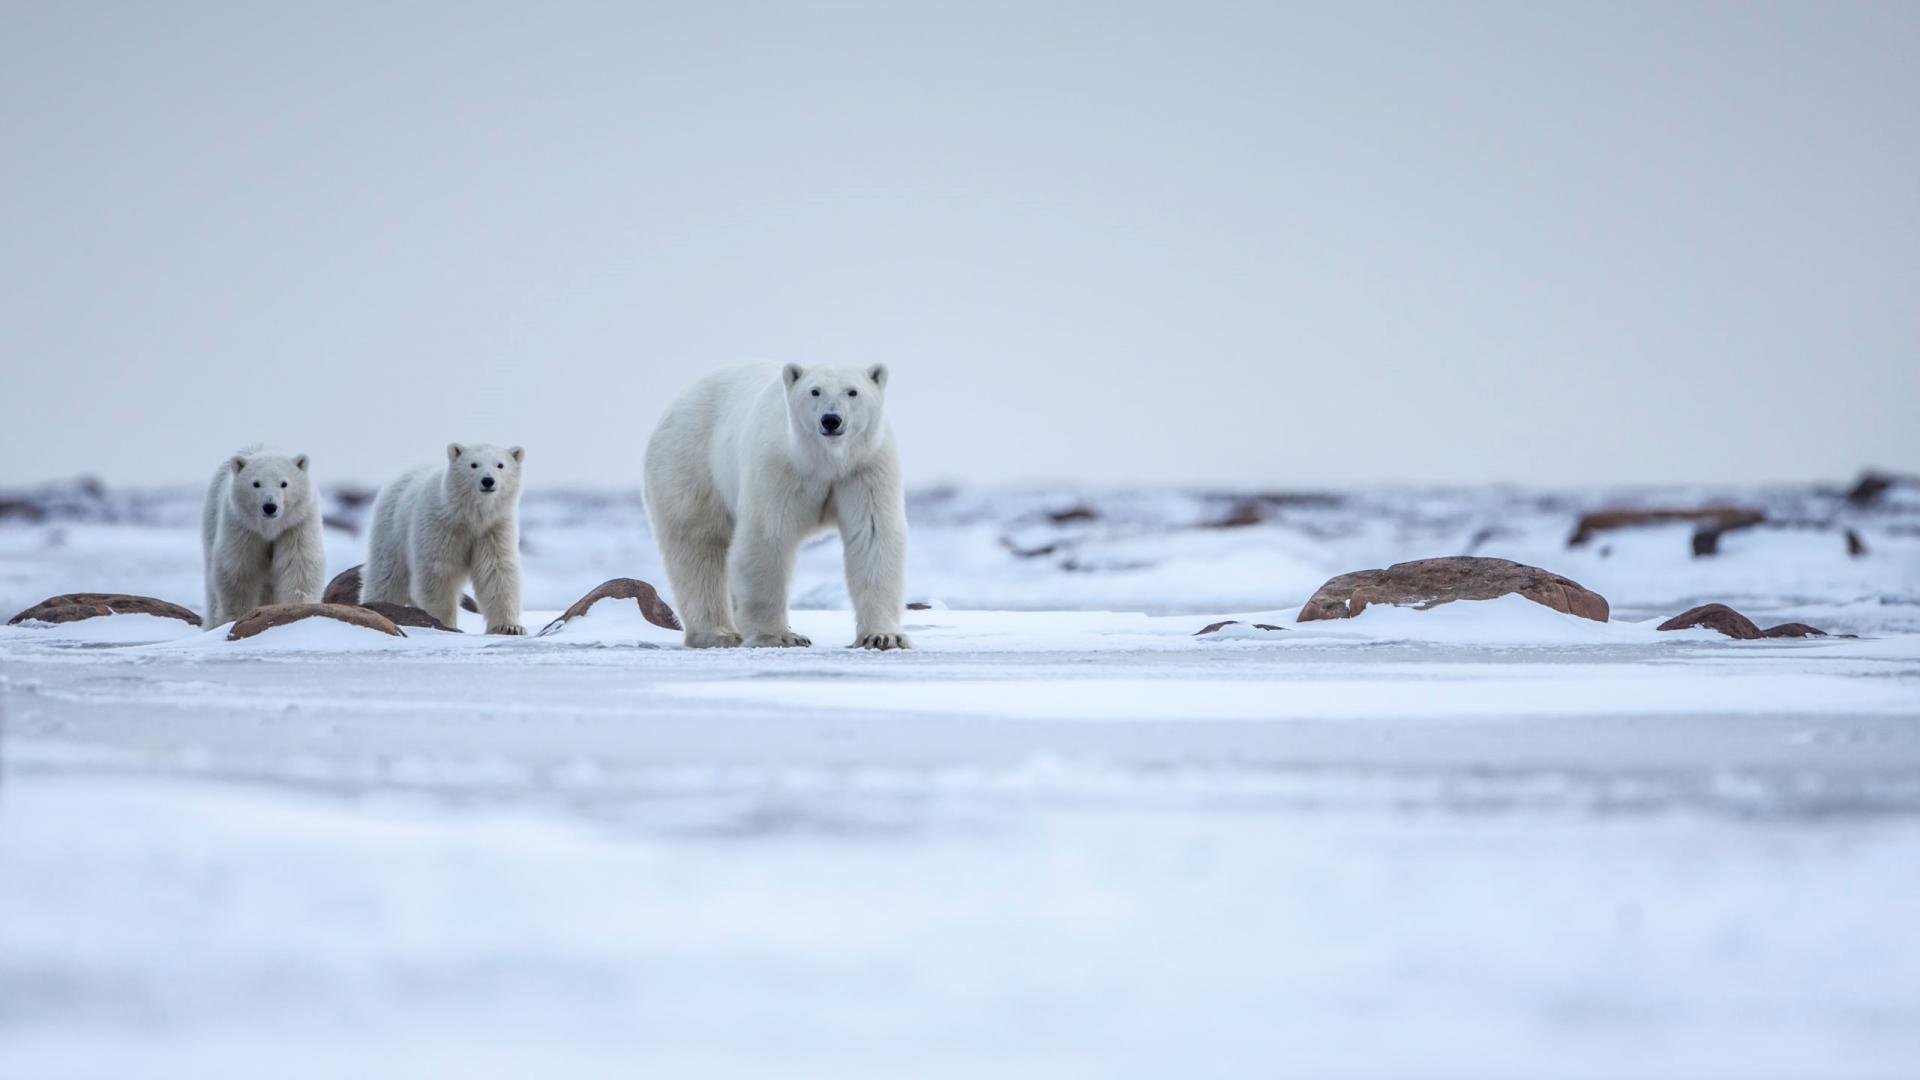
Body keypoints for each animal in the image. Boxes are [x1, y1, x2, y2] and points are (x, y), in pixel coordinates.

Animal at [201, 445, 326, 626]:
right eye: (256, 483)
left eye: (284, 483)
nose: (270, 506)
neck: (269, 529)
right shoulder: (243, 527)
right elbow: (240, 571)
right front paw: (238, 616)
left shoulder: (296, 525)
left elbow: (298, 566)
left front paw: (296, 608)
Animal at [359, 443, 526, 634]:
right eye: (473, 464)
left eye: (500, 465)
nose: (488, 481)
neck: (470, 516)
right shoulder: (440, 526)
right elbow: (438, 571)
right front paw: (443, 623)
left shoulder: (494, 528)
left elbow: (497, 570)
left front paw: (509, 627)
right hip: (390, 530)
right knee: (386, 576)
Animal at [645, 361, 913, 645]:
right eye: (815, 391)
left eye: (852, 391)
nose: (831, 419)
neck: (827, 460)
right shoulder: (780, 466)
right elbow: (768, 537)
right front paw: (778, 636)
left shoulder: (865, 468)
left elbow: (873, 536)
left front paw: (883, 637)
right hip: (690, 464)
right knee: (698, 545)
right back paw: (718, 633)